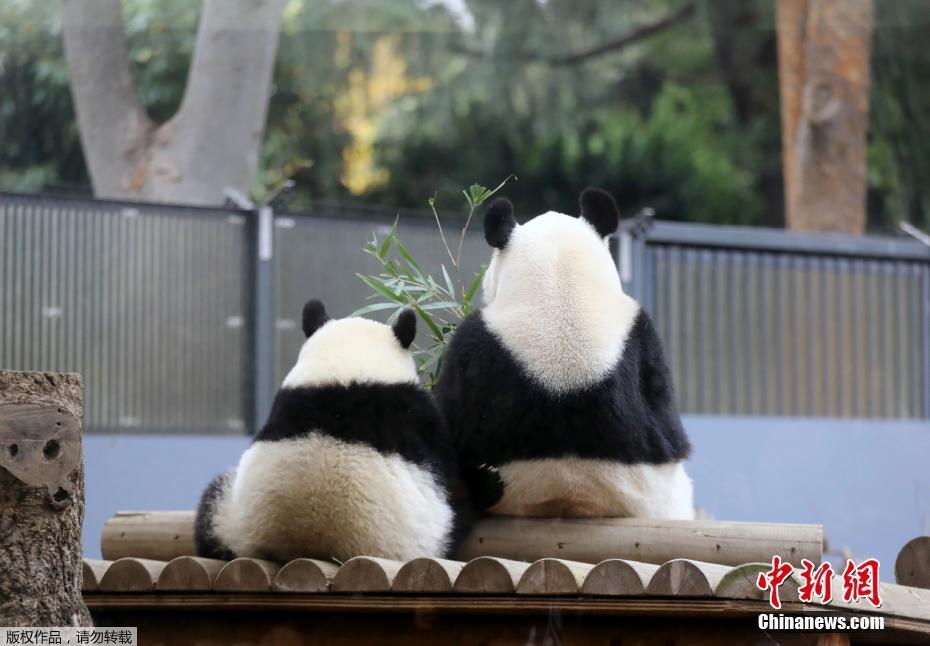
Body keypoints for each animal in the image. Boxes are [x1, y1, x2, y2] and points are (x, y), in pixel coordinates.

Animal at [194, 300, 457, 563]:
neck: (349, 370)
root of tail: (311, 544)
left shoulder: (287, 401)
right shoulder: (413, 412)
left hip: (228, 518)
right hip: (420, 535)